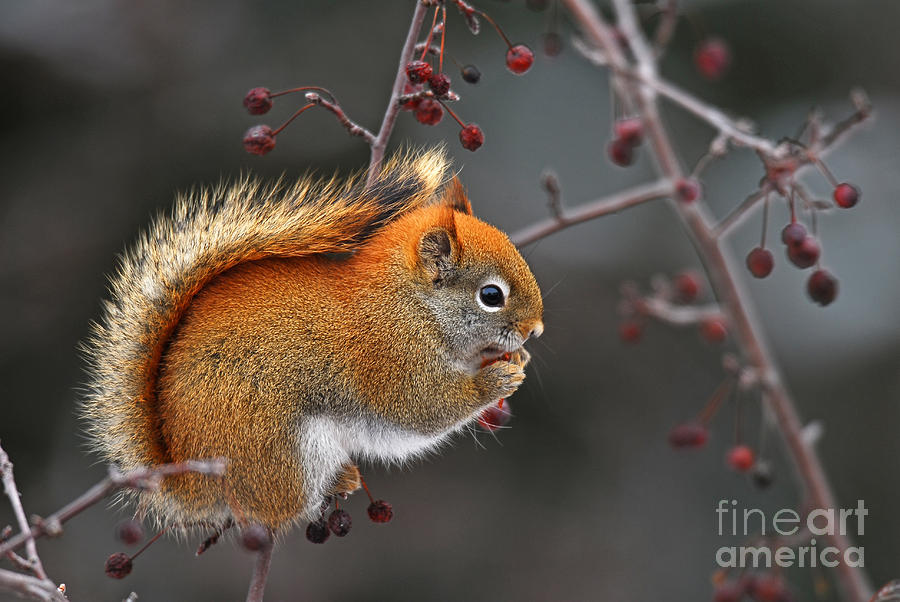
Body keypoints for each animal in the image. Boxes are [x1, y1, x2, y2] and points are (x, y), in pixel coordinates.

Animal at [80, 149, 543, 532]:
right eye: (491, 295)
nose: (535, 329)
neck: (409, 306)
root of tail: (192, 482)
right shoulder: (391, 358)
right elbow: (423, 409)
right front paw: (494, 381)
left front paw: (517, 357)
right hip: (281, 450)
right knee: (279, 510)